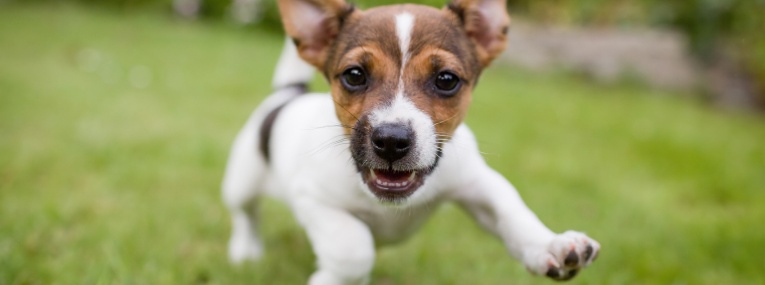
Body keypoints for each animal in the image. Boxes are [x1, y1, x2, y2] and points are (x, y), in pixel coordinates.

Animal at [221, 0, 596, 282]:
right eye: (354, 75)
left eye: (446, 79)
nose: (390, 141)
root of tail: (288, 94)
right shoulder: (314, 199)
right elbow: (354, 249)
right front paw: (330, 278)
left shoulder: (478, 183)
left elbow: (513, 213)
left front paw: (549, 246)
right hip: (242, 179)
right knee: (245, 214)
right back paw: (245, 251)